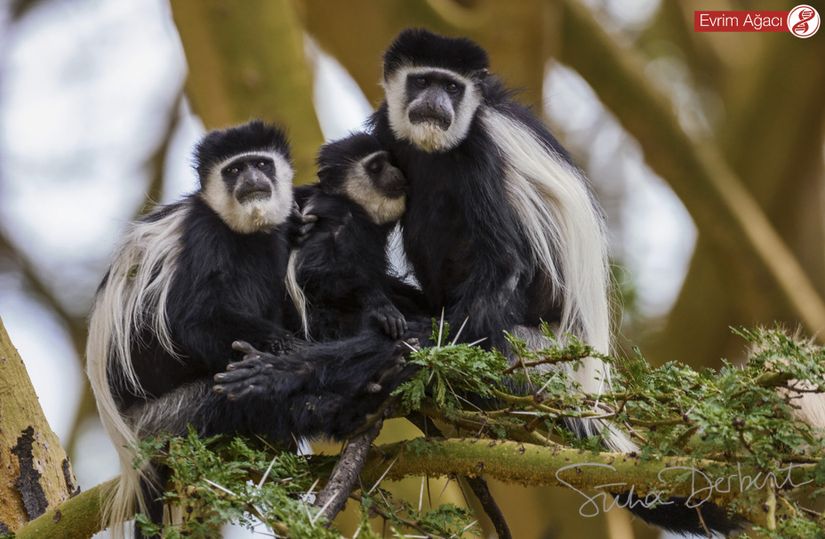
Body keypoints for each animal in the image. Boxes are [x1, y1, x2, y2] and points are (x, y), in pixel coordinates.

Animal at [87, 120, 408, 536]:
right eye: (235, 169)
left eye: (261, 164)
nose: (252, 179)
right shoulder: (203, 233)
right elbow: (194, 320)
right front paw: (283, 358)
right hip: (166, 420)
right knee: (229, 395)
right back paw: (347, 404)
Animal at [370, 30, 736, 539]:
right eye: (422, 80)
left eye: (453, 87)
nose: (435, 103)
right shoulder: (384, 135)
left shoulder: (480, 148)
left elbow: (504, 258)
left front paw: (431, 347)